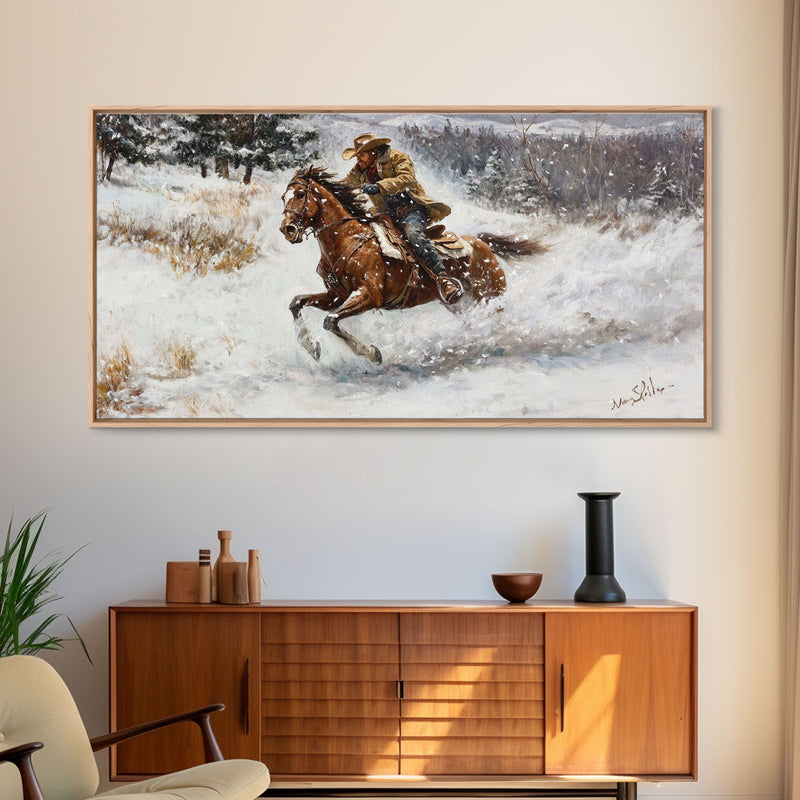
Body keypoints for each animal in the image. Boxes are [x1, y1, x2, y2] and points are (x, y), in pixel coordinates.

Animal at [280, 166, 544, 366]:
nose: (287, 229)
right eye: (284, 197)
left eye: (300, 194)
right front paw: (312, 347)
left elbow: (331, 321)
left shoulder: (369, 295)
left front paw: (372, 354)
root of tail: (481, 242)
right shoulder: (336, 295)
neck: (348, 238)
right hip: (461, 304)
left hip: (490, 295)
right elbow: (297, 303)